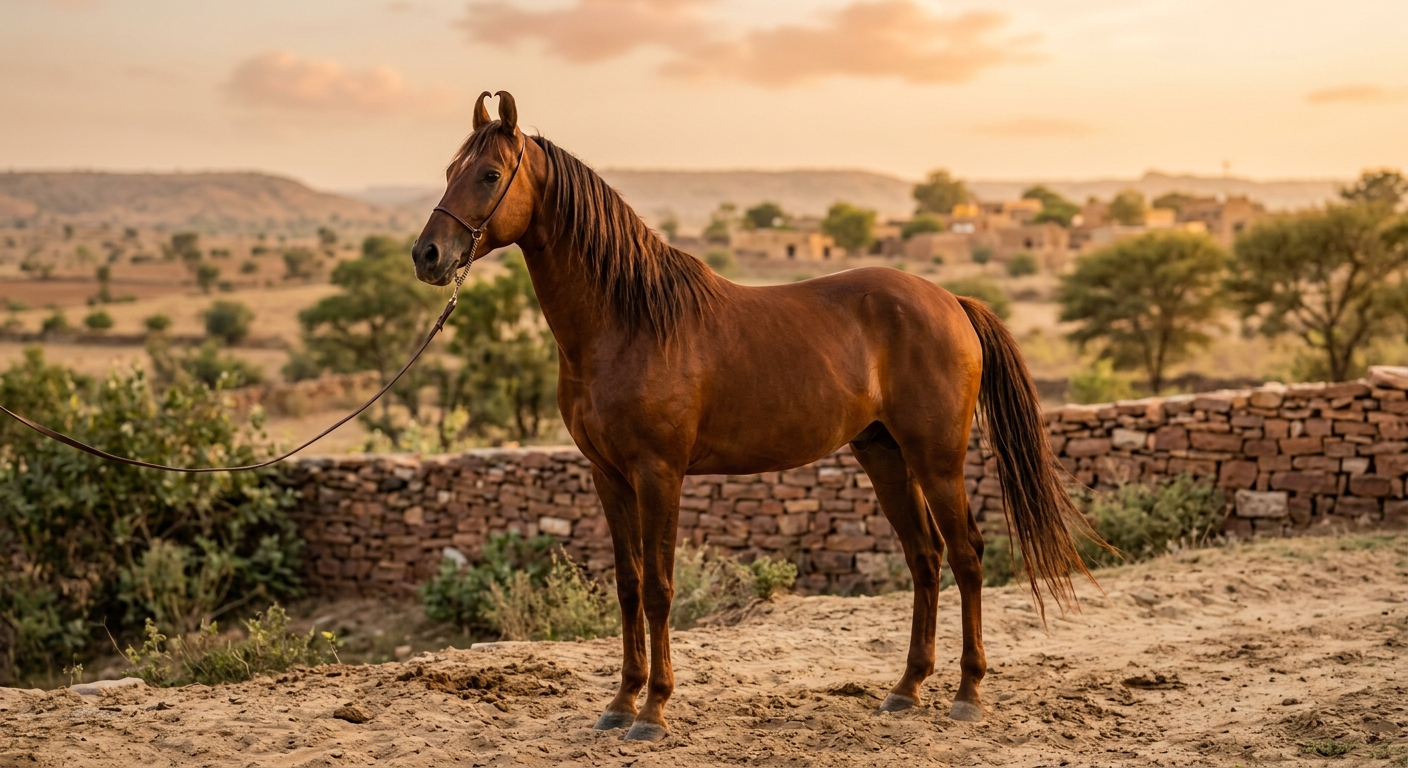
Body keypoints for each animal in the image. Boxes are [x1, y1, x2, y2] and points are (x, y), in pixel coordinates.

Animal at [411, 91, 1096, 742]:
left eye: (490, 174)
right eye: (448, 170)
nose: (428, 255)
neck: (627, 322)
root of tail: (951, 300)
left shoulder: (659, 474)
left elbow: (659, 588)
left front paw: (653, 712)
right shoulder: (608, 476)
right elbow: (629, 585)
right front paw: (620, 703)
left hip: (937, 458)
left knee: (967, 555)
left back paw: (967, 694)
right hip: (883, 454)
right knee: (924, 559)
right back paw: (905, 690)